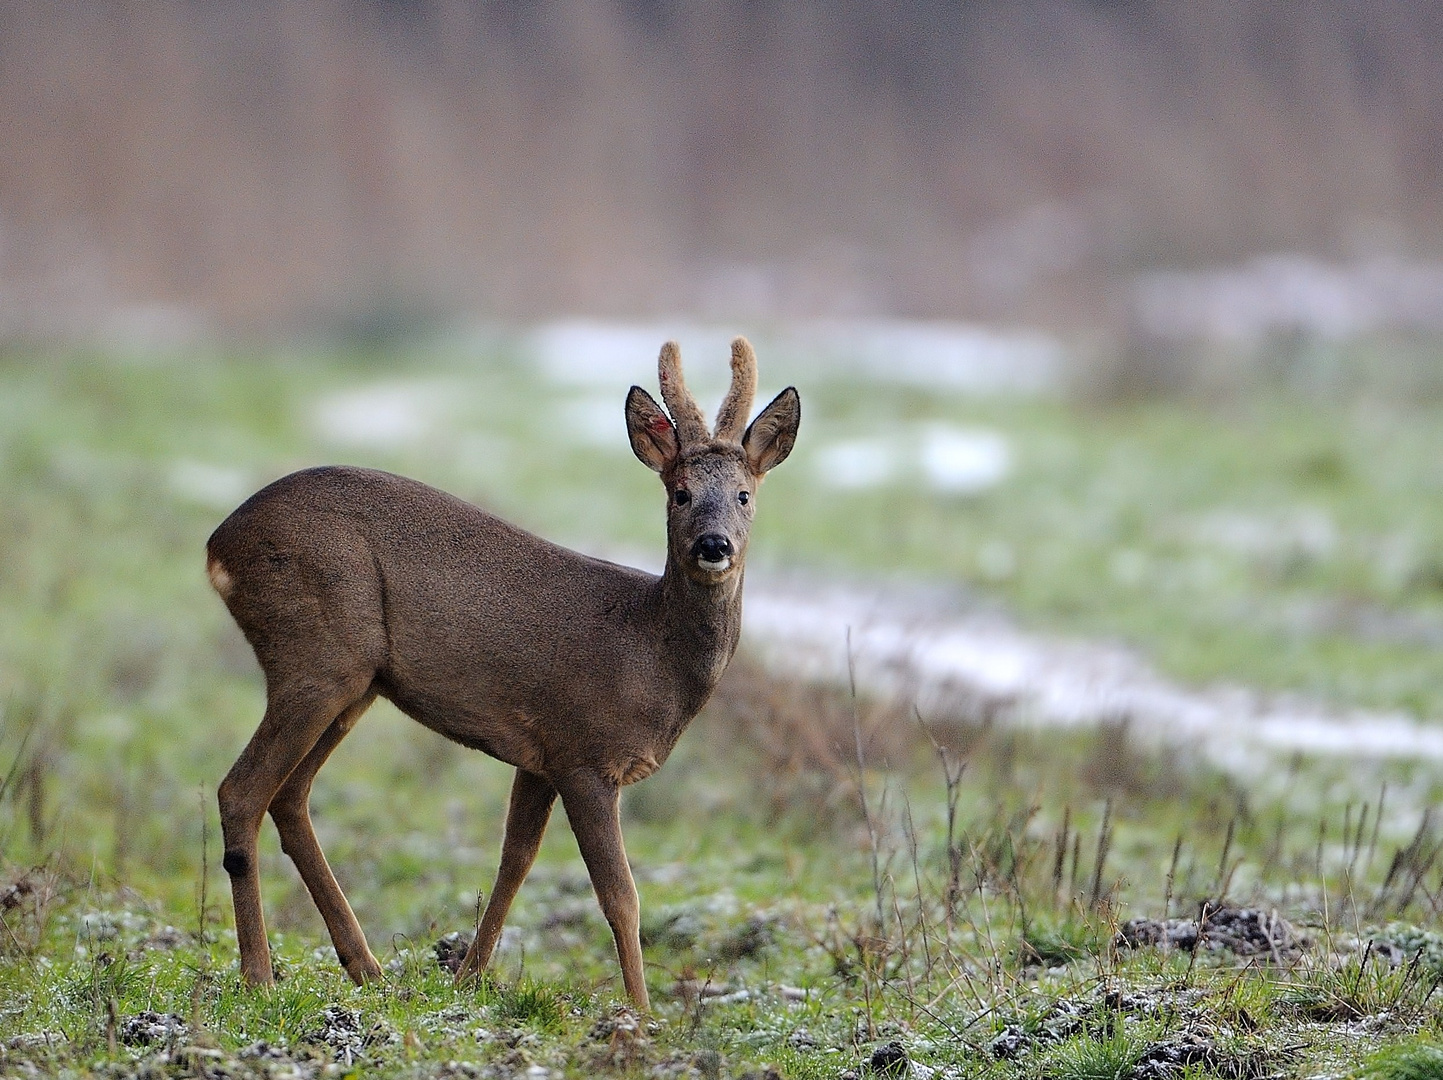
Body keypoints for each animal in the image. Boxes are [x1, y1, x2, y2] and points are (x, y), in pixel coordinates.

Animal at [206, 339, 802, 1010]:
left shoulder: (539, 755)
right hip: (314, 656)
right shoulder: (585, 753)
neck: (651, 653)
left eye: (745, 495)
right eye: (679, 492)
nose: (714, 545)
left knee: (289, 797)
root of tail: (217, 545)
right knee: (241, 790)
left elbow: (515, 861)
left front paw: (468, 975)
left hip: (352, 684)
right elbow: (620, 895)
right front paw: (642, 1011)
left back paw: (366, 969)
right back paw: (259, 974)